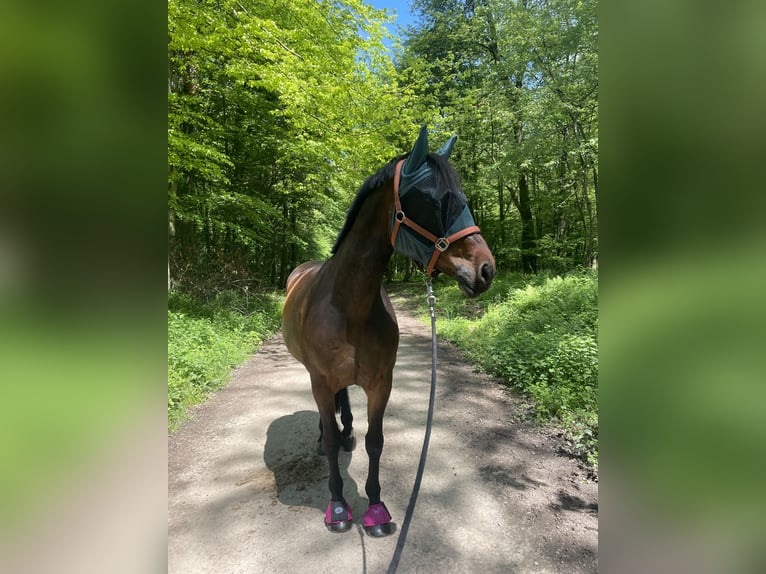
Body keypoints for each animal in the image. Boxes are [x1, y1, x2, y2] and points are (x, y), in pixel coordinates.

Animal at [284, 126, 498, 540]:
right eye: (434, 200)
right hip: (314, 376)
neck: (348, 305)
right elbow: (332, 440)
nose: (486, 269)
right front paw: (338, 506)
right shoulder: (321, 380)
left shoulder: (382, 382)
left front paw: (376, 507)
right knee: (327, 417)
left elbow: (375, 441)